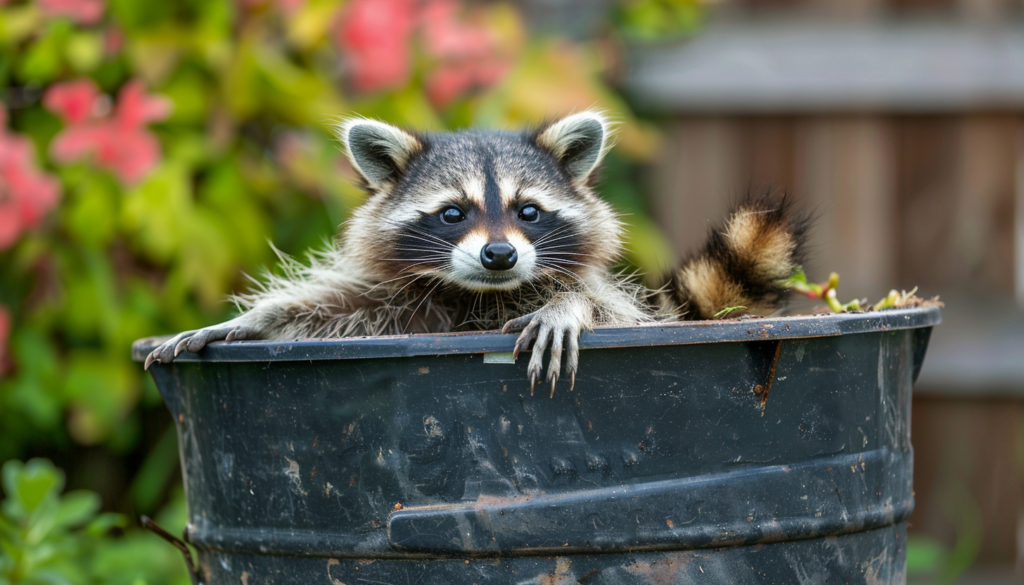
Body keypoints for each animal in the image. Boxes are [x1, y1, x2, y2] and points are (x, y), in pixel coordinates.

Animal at [146, 112, 806, 395]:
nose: (499, 256)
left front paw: (568, 307)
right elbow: (337, 310)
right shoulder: (404, 301)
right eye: (453, 213)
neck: (480, 296)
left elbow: (616, 312)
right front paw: (254, 319)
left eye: (528, 212)